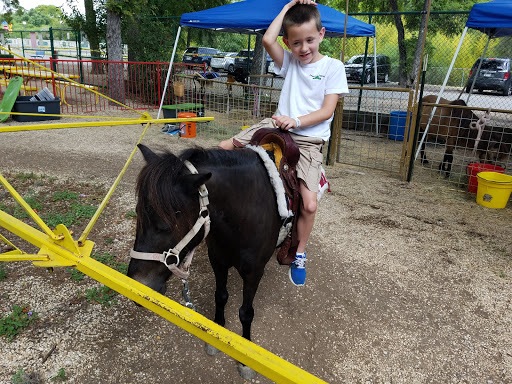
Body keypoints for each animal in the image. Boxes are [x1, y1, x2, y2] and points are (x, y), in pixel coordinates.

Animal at [127, 146, 280, 380]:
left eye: (165, 224)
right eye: (138, 214)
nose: (136, 286)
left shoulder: (253, 273)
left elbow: (246, 313)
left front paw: (245, 359)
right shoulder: (218, 260)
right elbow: (221, 296)